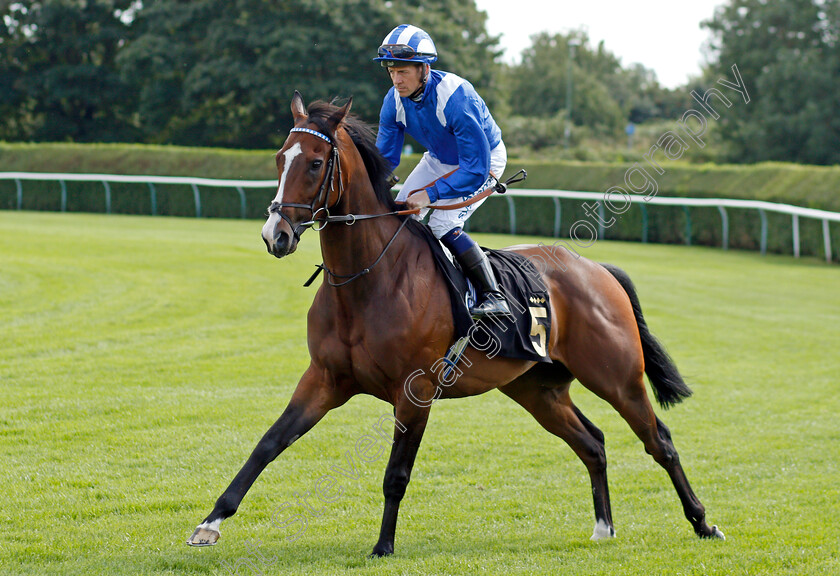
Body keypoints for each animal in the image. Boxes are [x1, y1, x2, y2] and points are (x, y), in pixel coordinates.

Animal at [187, 93, 724, 552]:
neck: (368, 280)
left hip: (617, 376)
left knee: (660, 442)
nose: (274, 234)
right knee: (593, 444)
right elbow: (268, 444)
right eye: (280, 159)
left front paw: (383, 546)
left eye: (316, 163)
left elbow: (396, 474)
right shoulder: (324, 379)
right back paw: (604, 527)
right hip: (539, 389)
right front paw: (210, 523)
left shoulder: (415, 390)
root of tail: (598, 270)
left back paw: (703, 522)